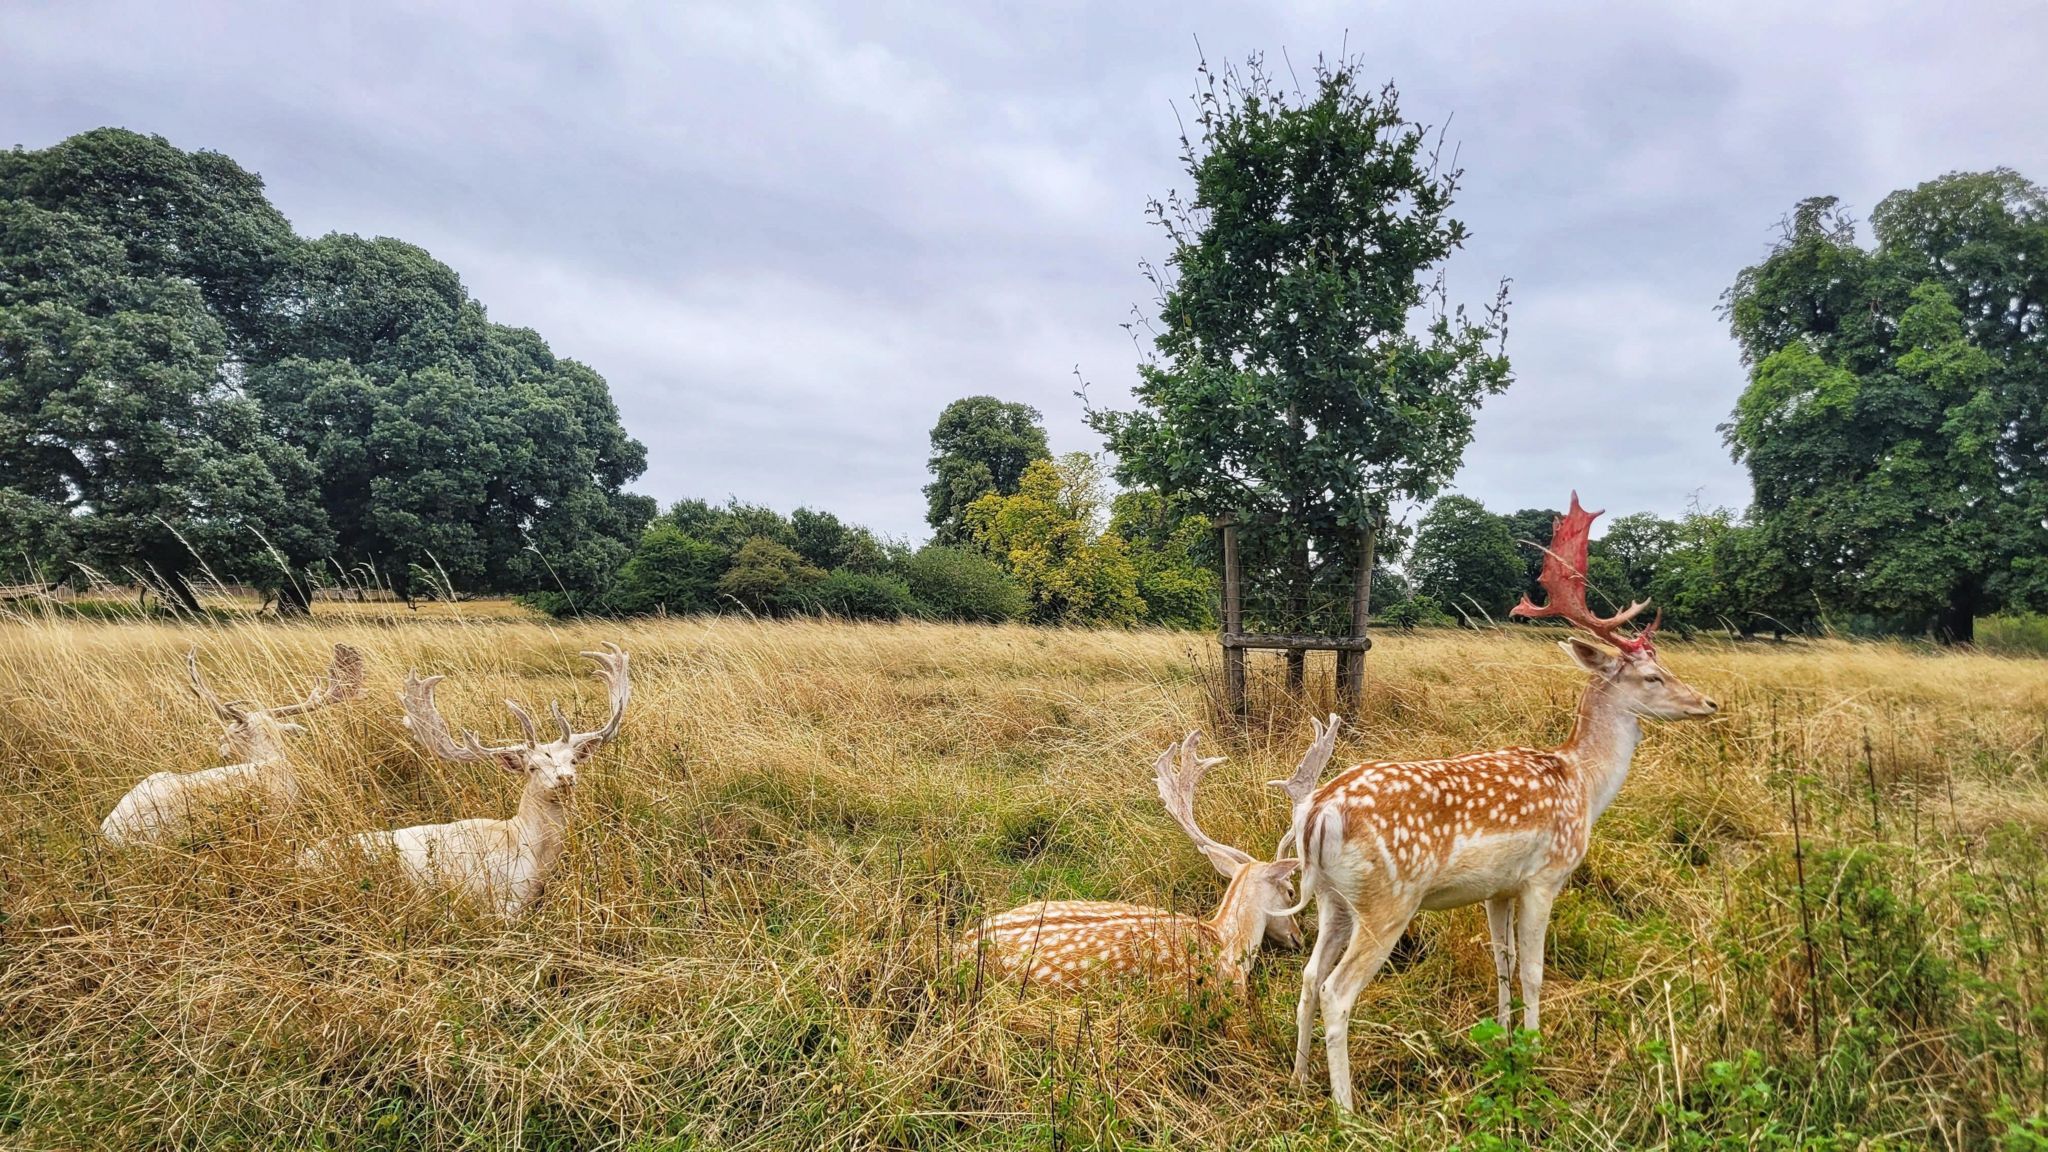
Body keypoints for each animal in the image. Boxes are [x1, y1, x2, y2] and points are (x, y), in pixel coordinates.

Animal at [1286, 491, 1720, 1106]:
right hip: (1388, 900)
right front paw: (1538, 1053)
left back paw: (1299, 1078)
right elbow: (1535, 970)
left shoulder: (1498, 888)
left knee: (1307, 977)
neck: (1583, 782)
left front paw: (1505, 1037)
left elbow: (1503, 960)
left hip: (1332, 898)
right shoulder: (1546, 875)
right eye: (1653, 677)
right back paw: (1347, 1110)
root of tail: (1318, 813)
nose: (1708, 703)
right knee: (1337, 991)